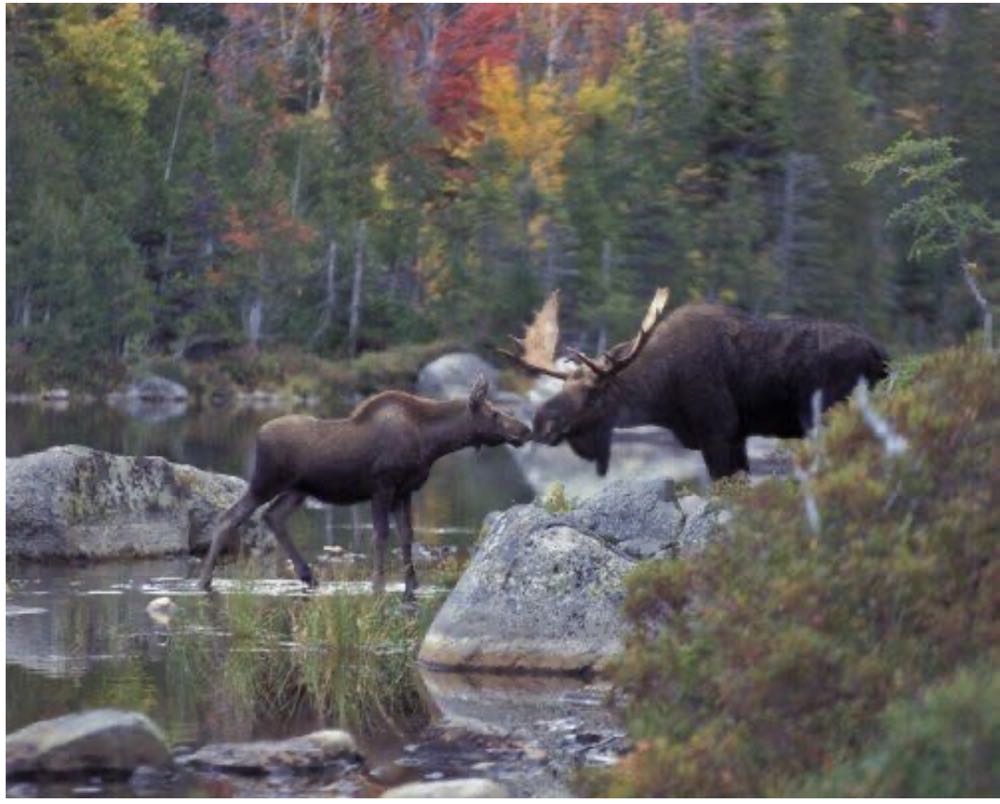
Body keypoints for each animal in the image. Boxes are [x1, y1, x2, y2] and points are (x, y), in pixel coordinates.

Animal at [197, 375, 531, 596]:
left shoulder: (405, 490)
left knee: (272, 516)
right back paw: (204, 580)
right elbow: (381, 536)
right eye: (494, 413)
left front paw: (412, 583)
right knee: (230, 516)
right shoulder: (382, 487)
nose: (525, 430)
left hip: (297, 490)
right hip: (266, 481)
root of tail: (258, 435)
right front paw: (378, 582)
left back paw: (308, 575)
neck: (432, 442)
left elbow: (407, 536)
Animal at [499, 289, 889, 480]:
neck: (663, 395)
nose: (541, 422)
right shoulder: (736, 435)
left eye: (594, 394)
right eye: (563, 387)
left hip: (834, 414)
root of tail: (880, 354)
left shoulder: (718, 430)